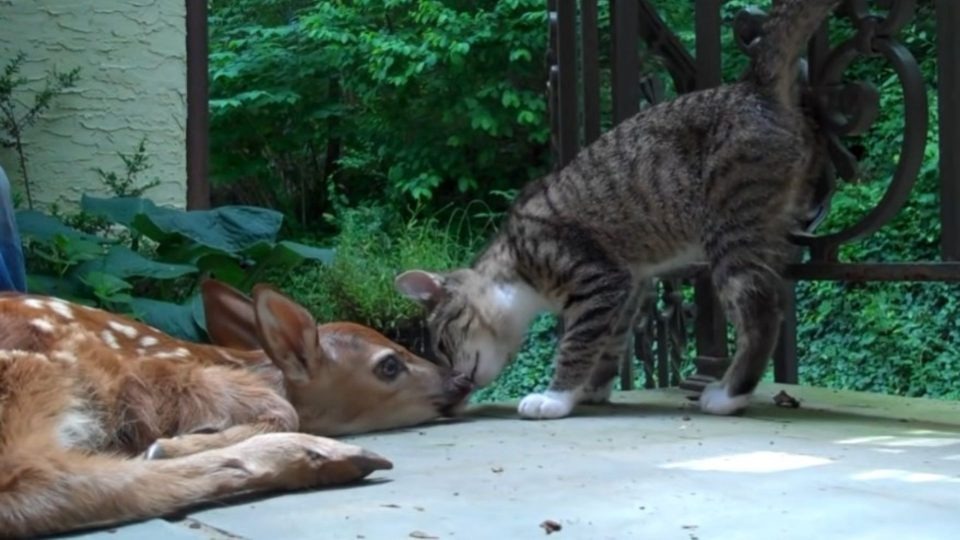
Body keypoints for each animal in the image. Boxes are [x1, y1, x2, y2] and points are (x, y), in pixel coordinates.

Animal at [394, 0, 836, 420]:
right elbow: (609, 346)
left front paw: (555, 397)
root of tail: (751, 87)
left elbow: (576, 343)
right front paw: (591, 389)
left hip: (731, 229)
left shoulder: (597, 278)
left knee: (762, 314)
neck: (515, 263)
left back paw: (729, 394)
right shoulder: (630, 285)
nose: (460, 381)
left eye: (442, 342)